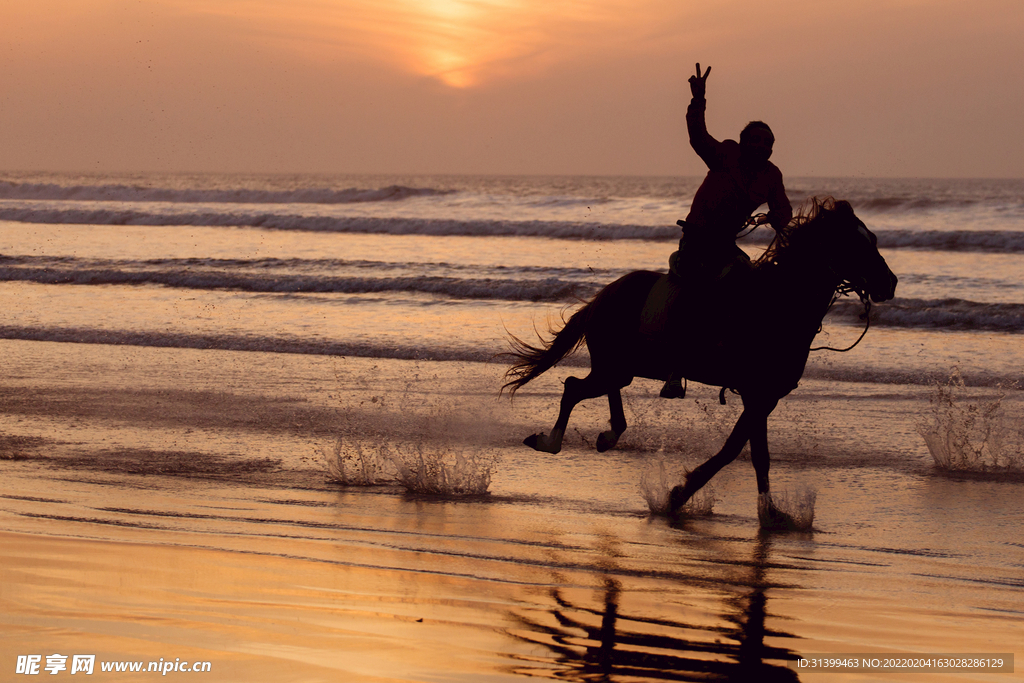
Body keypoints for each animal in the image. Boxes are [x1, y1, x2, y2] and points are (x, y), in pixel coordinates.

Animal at [501, 197, 897, 518]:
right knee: (572, 387)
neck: (777, 304)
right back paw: (551, 442)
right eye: (854, 243)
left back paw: (609, 435)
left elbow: (759, 456)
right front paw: (680, 493)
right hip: (614, 365)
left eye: (874, 240)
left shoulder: (765, 397)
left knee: (601, 390)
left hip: (622, 366)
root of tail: (601, 297)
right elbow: (733, 450)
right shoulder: (756, 394)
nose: (890, 283)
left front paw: (772, 513)